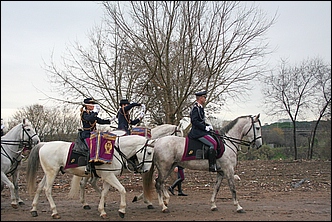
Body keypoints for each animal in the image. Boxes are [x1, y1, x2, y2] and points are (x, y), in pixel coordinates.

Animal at [26, 134, 154, 219]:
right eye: (149, 152)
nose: (146, 170)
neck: (115, 152)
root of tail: (44, 144)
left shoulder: (108, 176)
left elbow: (104, 193)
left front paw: (102, 210)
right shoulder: (109, 176)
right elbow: (122, 190)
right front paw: (122, 210)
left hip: (49, 173)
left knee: (39, 188)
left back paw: (34, 209)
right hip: (52, 173)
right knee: (47, 190)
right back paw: (55, 212)